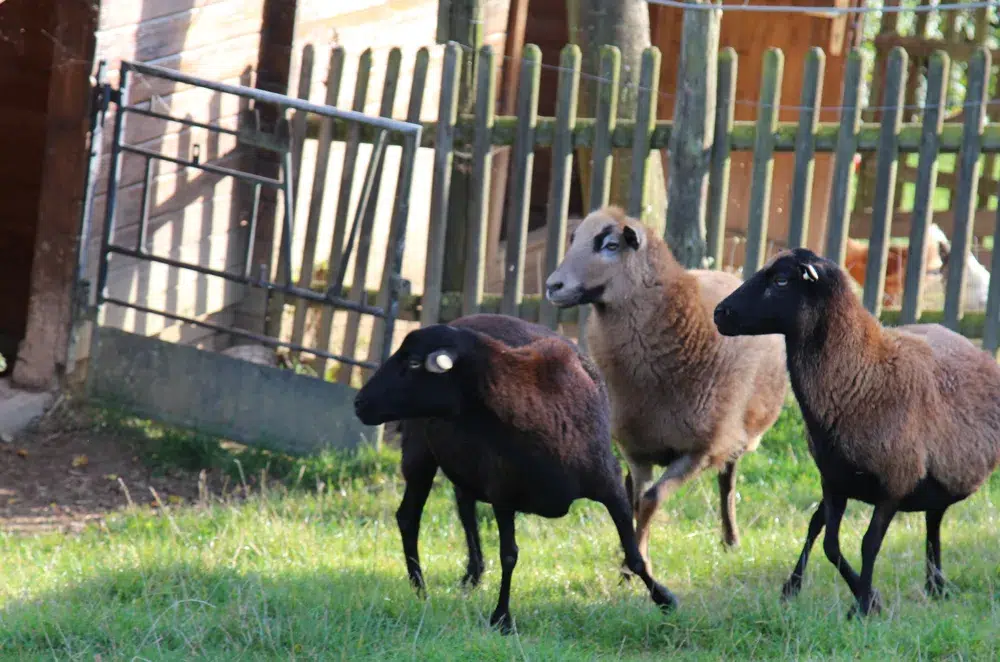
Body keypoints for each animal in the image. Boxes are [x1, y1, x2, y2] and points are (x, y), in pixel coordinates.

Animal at [353, 313, 677, 633]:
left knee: (464, 507)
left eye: (413, 362)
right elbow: (509, 555)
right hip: (420, 451)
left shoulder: (610, 484)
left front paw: (665, 599)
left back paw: (471, 574)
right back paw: (421, 590)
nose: (358, 403)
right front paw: (502, 618)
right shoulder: (503, 492)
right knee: (409, 517)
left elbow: (634, 555)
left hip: (464, 463)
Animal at [543, 206, 788, 573]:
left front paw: (636, 566)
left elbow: (651, 499)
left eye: (610, 245)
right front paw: (630, 562)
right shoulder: (635, 448)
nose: (552, 286)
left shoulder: (700, 450)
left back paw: (731, 540)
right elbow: (636, 497)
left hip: (734, 434)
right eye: (575, 240)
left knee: (727, 483)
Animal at [713, 247, 1000, 617]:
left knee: (932, 520)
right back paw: (933, 585)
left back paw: (934, 584)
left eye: (781, 280)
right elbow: (830, 544)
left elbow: (868, 545)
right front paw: (869, 599)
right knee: (927, 520)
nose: (719, 313)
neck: (863, 375)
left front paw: (863, 606)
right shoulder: (834, 483)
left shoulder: (893, 484)